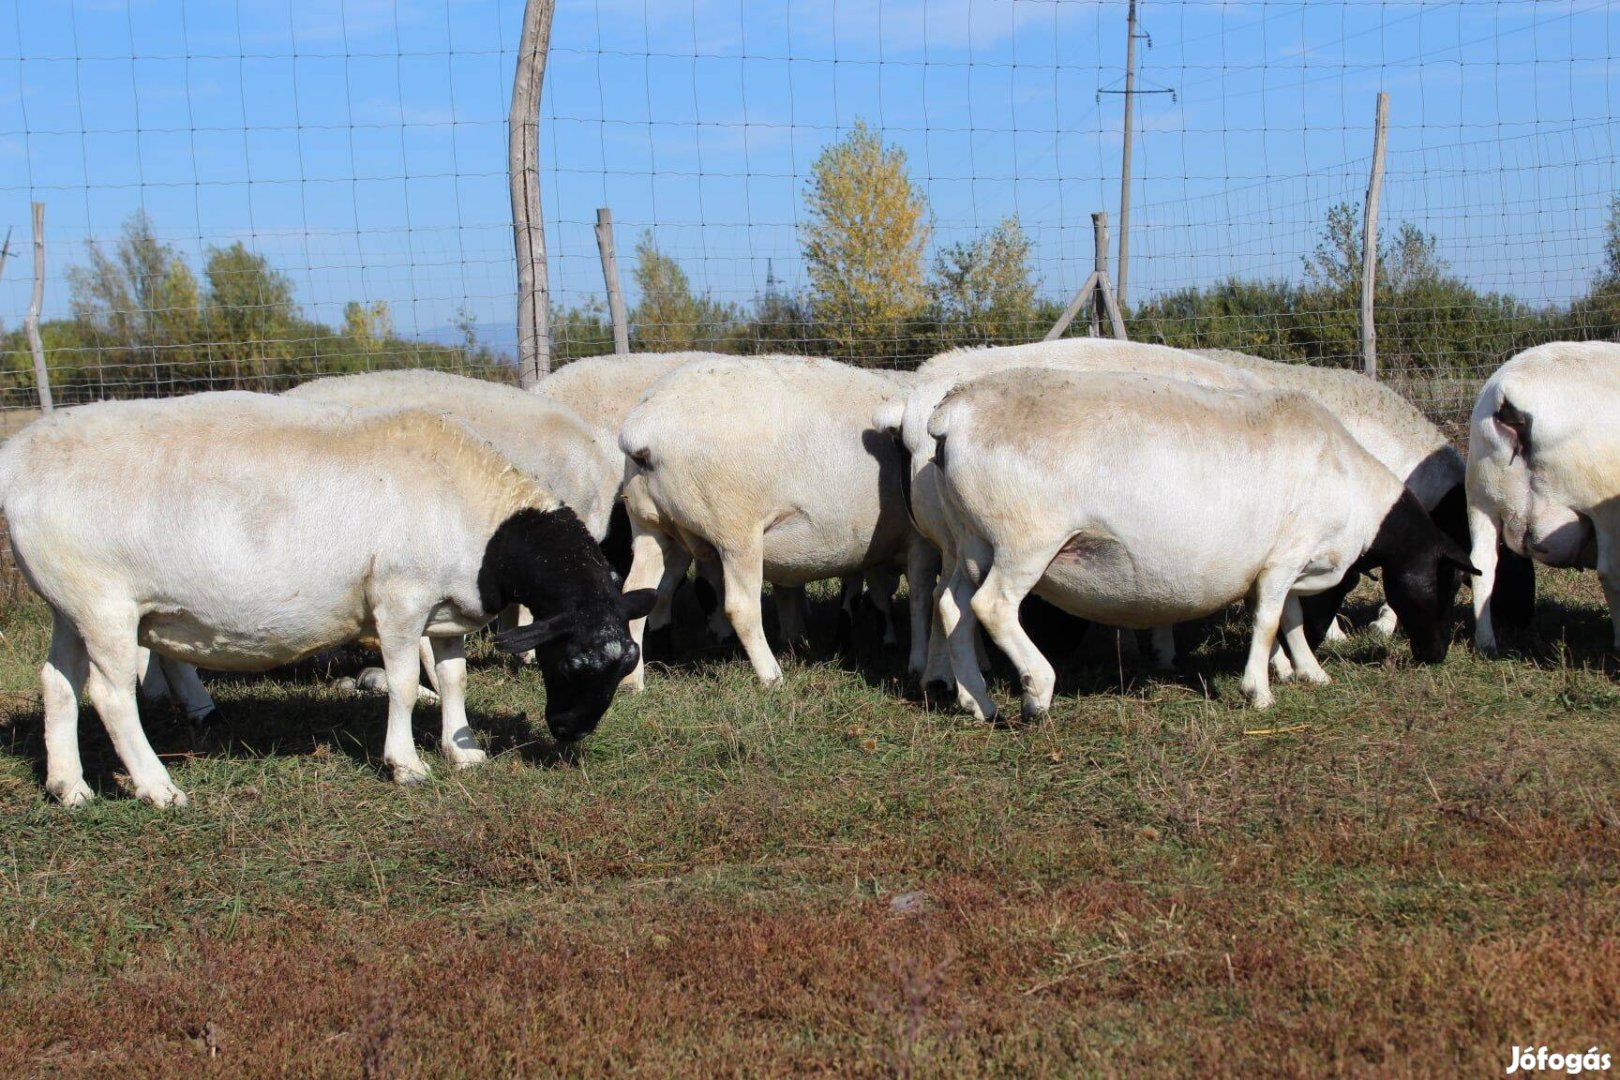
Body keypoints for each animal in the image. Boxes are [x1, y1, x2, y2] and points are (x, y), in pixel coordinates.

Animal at [4, 393, 657, 806]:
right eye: (571, 663)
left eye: (623, 664)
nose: (570, 731)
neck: (481, 524)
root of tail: (18, 459)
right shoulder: (399, 601)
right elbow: (402, 685)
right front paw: (406, 765)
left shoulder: (445, 613)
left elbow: (453, 679)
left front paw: (464, 750)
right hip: (104, 604)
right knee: (111, 696)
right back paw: (157, 788)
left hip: (68, 604)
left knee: (57, 682)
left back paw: (69, 788)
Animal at [615, 359, 913, 689]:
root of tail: (642, 429)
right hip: (735, 530)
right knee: (740, 607)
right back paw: (771, 676)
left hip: (649, 526)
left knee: (638, 592)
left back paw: (632, 682)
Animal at [926, 367, 1470, 722]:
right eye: (1448, 581)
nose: (1437, 655)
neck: (1356, 491)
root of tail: (952, 416)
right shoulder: (1285, 558)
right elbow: (1269, 621)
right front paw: (1260, 691)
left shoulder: (1286, 563)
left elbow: (1290, 619)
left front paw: (1309, 672)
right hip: (1025, 540)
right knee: (993, 605)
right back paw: (1037, 692)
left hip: (971, 540)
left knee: (952, 606)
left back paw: (978, 702)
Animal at [1470, 344, 1620, 650]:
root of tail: (1509, 394)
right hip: (1601, 503)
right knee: (1611, 573)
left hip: (1481, 495)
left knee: (1482, 563)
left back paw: (1486, 644)